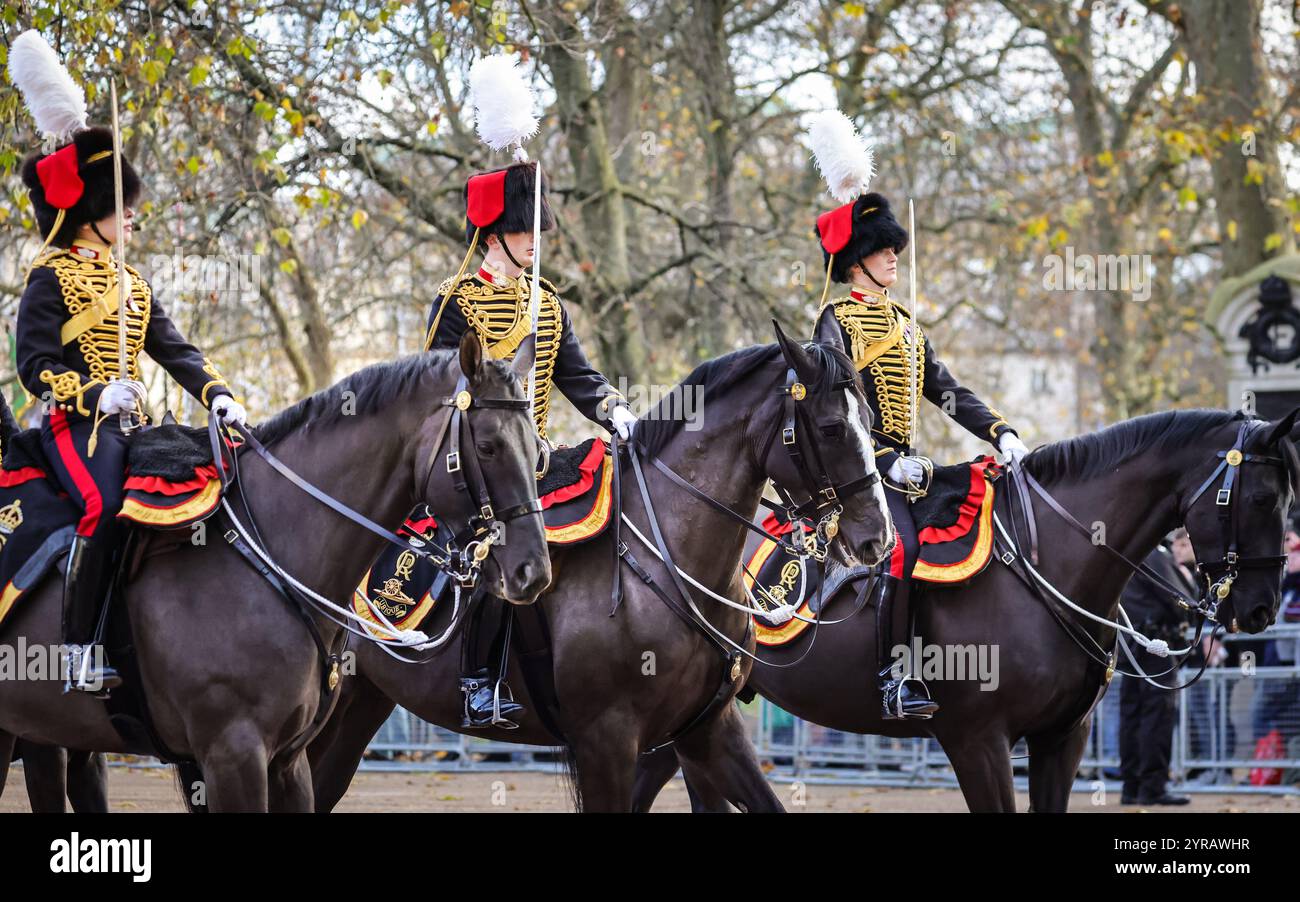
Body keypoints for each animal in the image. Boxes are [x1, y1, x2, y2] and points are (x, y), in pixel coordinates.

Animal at [0, 332, 550, 812]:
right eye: (488, 447)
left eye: (537, 451)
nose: (533, 572)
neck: (268, 556)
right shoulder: (232, 757)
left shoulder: (287, 761)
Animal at [306, 324, 895, 812]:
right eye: (831, 428)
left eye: (869, 421)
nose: (878, 538)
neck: (670, 562)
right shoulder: (606, 741)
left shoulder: (709, 731)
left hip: (360, 704)